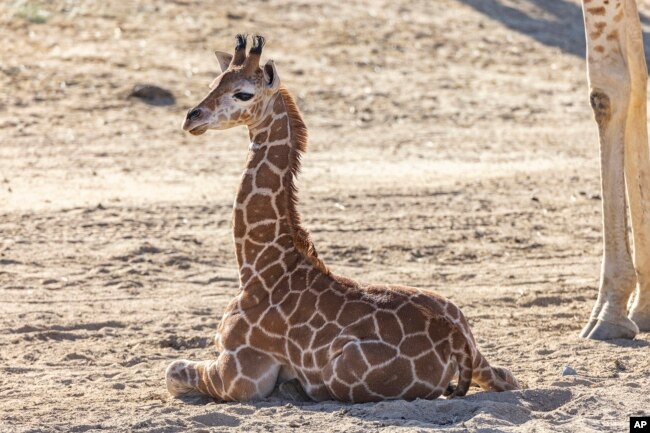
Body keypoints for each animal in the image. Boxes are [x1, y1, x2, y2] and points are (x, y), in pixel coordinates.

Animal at [166, 35, 516, 404]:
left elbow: (172, 371)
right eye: (213, 84)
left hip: (340, 374)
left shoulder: (240, 375)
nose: (191, 118)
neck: (260, 270)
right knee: (506, 376)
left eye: (243, 94)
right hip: (463, 326)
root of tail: (455, 341)